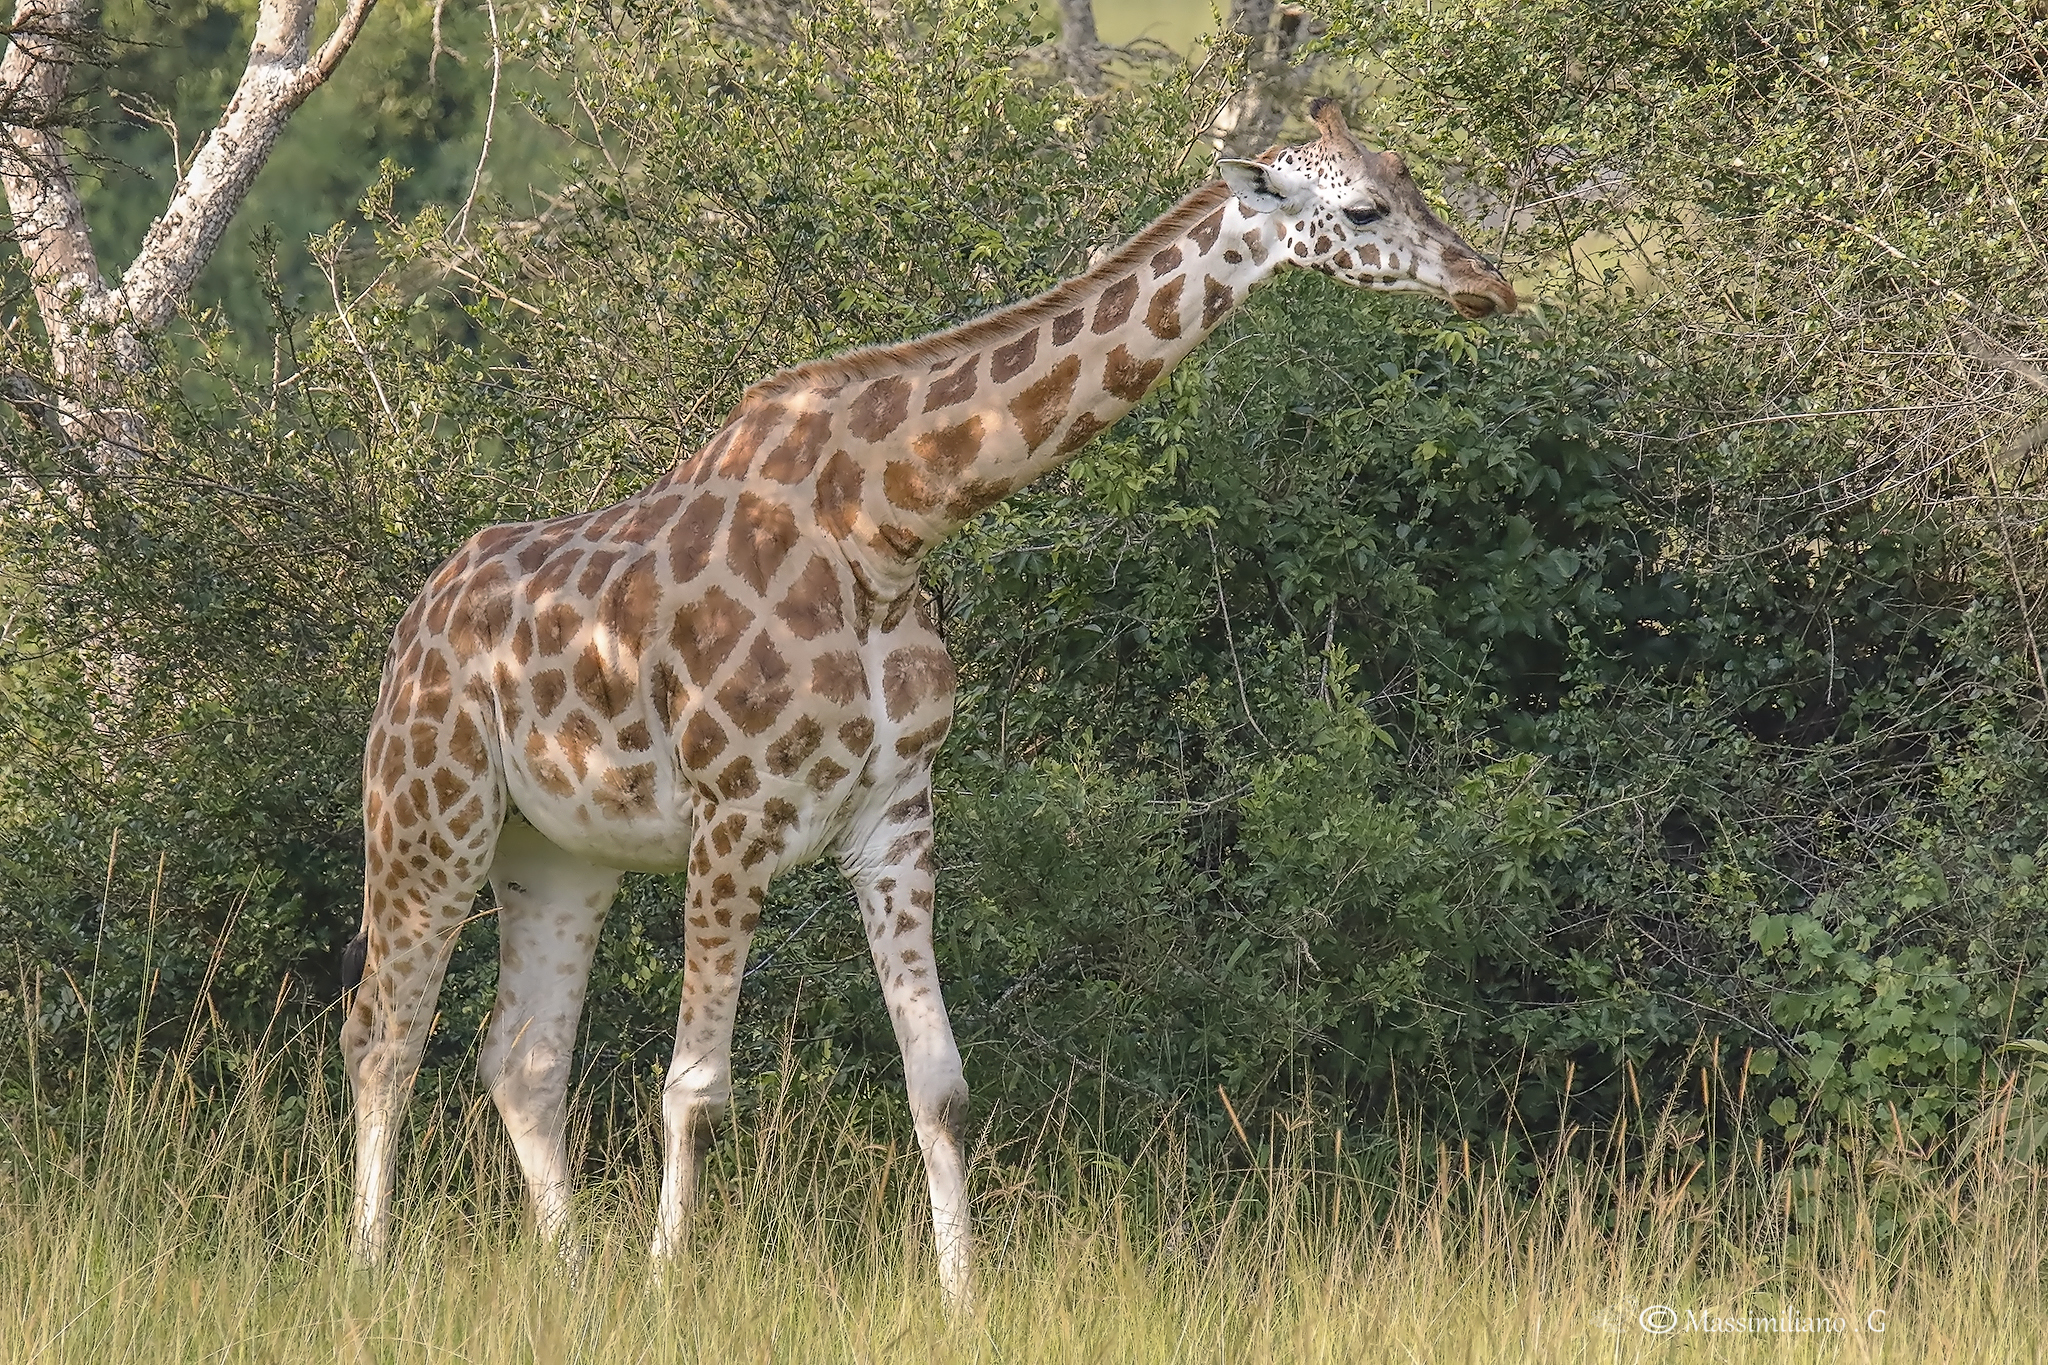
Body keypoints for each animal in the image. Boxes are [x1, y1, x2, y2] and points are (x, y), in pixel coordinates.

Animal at [340, 100, 1516, 1300]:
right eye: (1362, 209)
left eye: (1411, 178)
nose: (1491, 284)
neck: (887, 522)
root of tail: (413, 622)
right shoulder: (733, 816)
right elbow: (695, 1088)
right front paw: (670, 1289)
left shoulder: (893, 811)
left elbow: (939, 1084)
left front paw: (961, 1297)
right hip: (429, 814)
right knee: (382, 1034)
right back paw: (370, 1265)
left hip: (561, 849)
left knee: (521, 1056)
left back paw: (572, 1276)